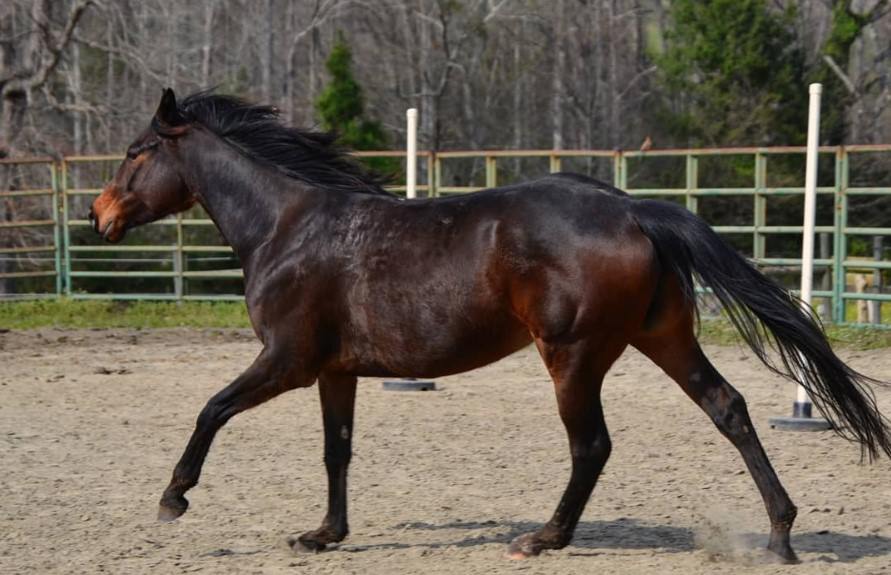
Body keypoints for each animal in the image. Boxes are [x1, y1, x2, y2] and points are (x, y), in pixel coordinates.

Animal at [89, 88, 891, 563]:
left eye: (136, 151)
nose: (98, 216)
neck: (286, 228)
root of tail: (633, 209)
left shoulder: (287, 360)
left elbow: (211, 408)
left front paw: (173, 498)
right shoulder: (335, 371)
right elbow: (336, 452)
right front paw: (324, 534)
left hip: (573, 355)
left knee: (592, 444)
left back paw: (544, 537)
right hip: (662, 337)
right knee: (728, 408)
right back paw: (780, 534)